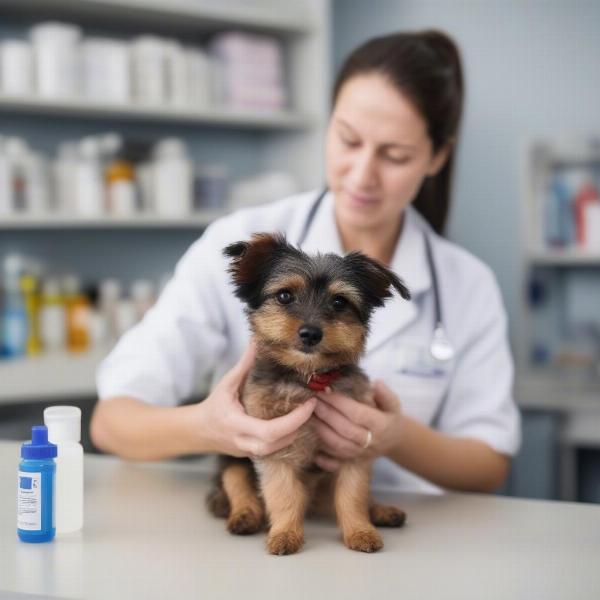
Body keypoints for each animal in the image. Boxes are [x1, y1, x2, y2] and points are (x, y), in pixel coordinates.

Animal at [207, 232, 412, 556]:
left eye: (340, 302)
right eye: (284, 296)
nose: (311, 333)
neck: (309, 379)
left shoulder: (352, 448)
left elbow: (353, 494)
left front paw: (360, 531)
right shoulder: (271, 443)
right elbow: (283, 493)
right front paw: (285, 534)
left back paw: (381, 511)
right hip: (232, 458)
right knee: (236, 482)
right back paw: (245, 515)